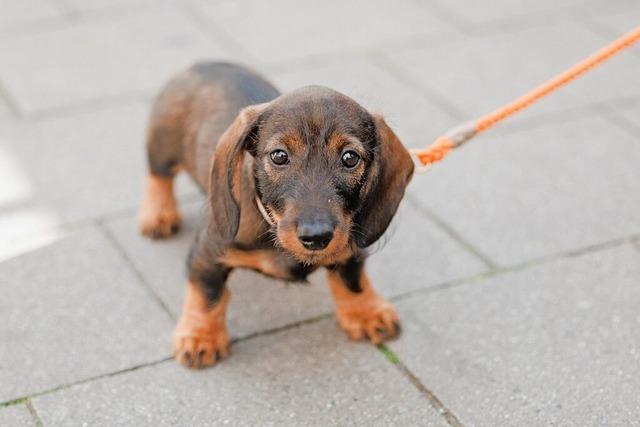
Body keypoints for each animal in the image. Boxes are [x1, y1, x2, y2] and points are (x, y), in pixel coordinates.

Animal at [138, 61, 412, 368]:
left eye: (350, 158)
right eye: (279, 156)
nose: (316, 236)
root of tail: (203, 64)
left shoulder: (350, 241)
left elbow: (352, 279)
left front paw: (366, 311)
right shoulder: (207, 251)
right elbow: (208, 293)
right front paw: (201, 336)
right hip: (162, 145)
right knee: (158, 177)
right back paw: (158, 213)